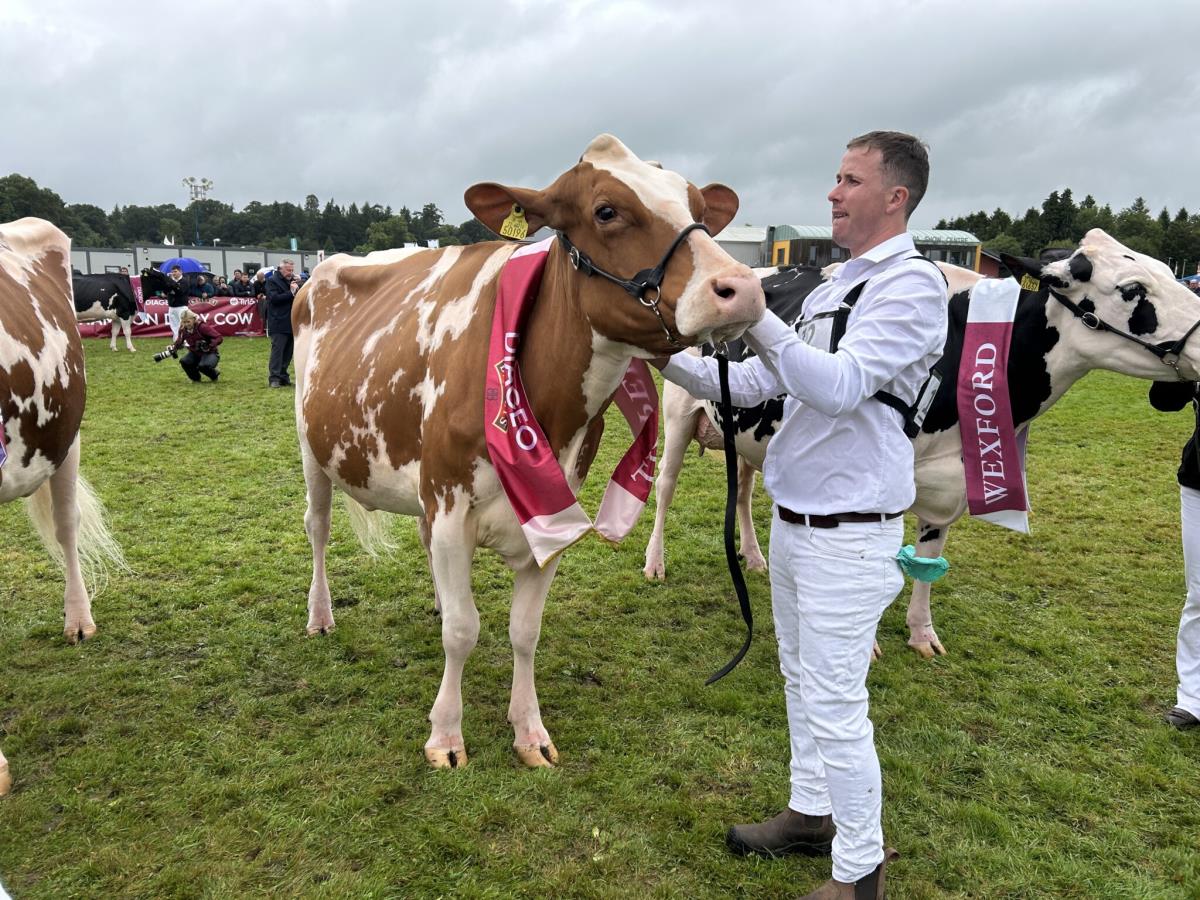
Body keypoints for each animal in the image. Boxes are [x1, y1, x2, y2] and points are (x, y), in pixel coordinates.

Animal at [293, 134, 765, 769]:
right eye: (606, 210)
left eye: (698, 209)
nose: (743, 288)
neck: (544, 403)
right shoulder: (450, 504)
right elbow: (463, 632)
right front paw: (446, 736)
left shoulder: (553, 512)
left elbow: (525, 631)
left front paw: (529, 731)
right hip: (312, 448)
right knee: (317, 527)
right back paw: (321, 616)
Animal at [644, 229, 1200, 658]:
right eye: (1133, 288)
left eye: (1169, 272)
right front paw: (865, 643)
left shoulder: (950, 483)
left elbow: (928, 564)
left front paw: (921, 634)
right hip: (679, 416)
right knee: (666, 487)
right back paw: (655, 563)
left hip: (746, 435)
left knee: (741, 490)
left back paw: (755, 559)